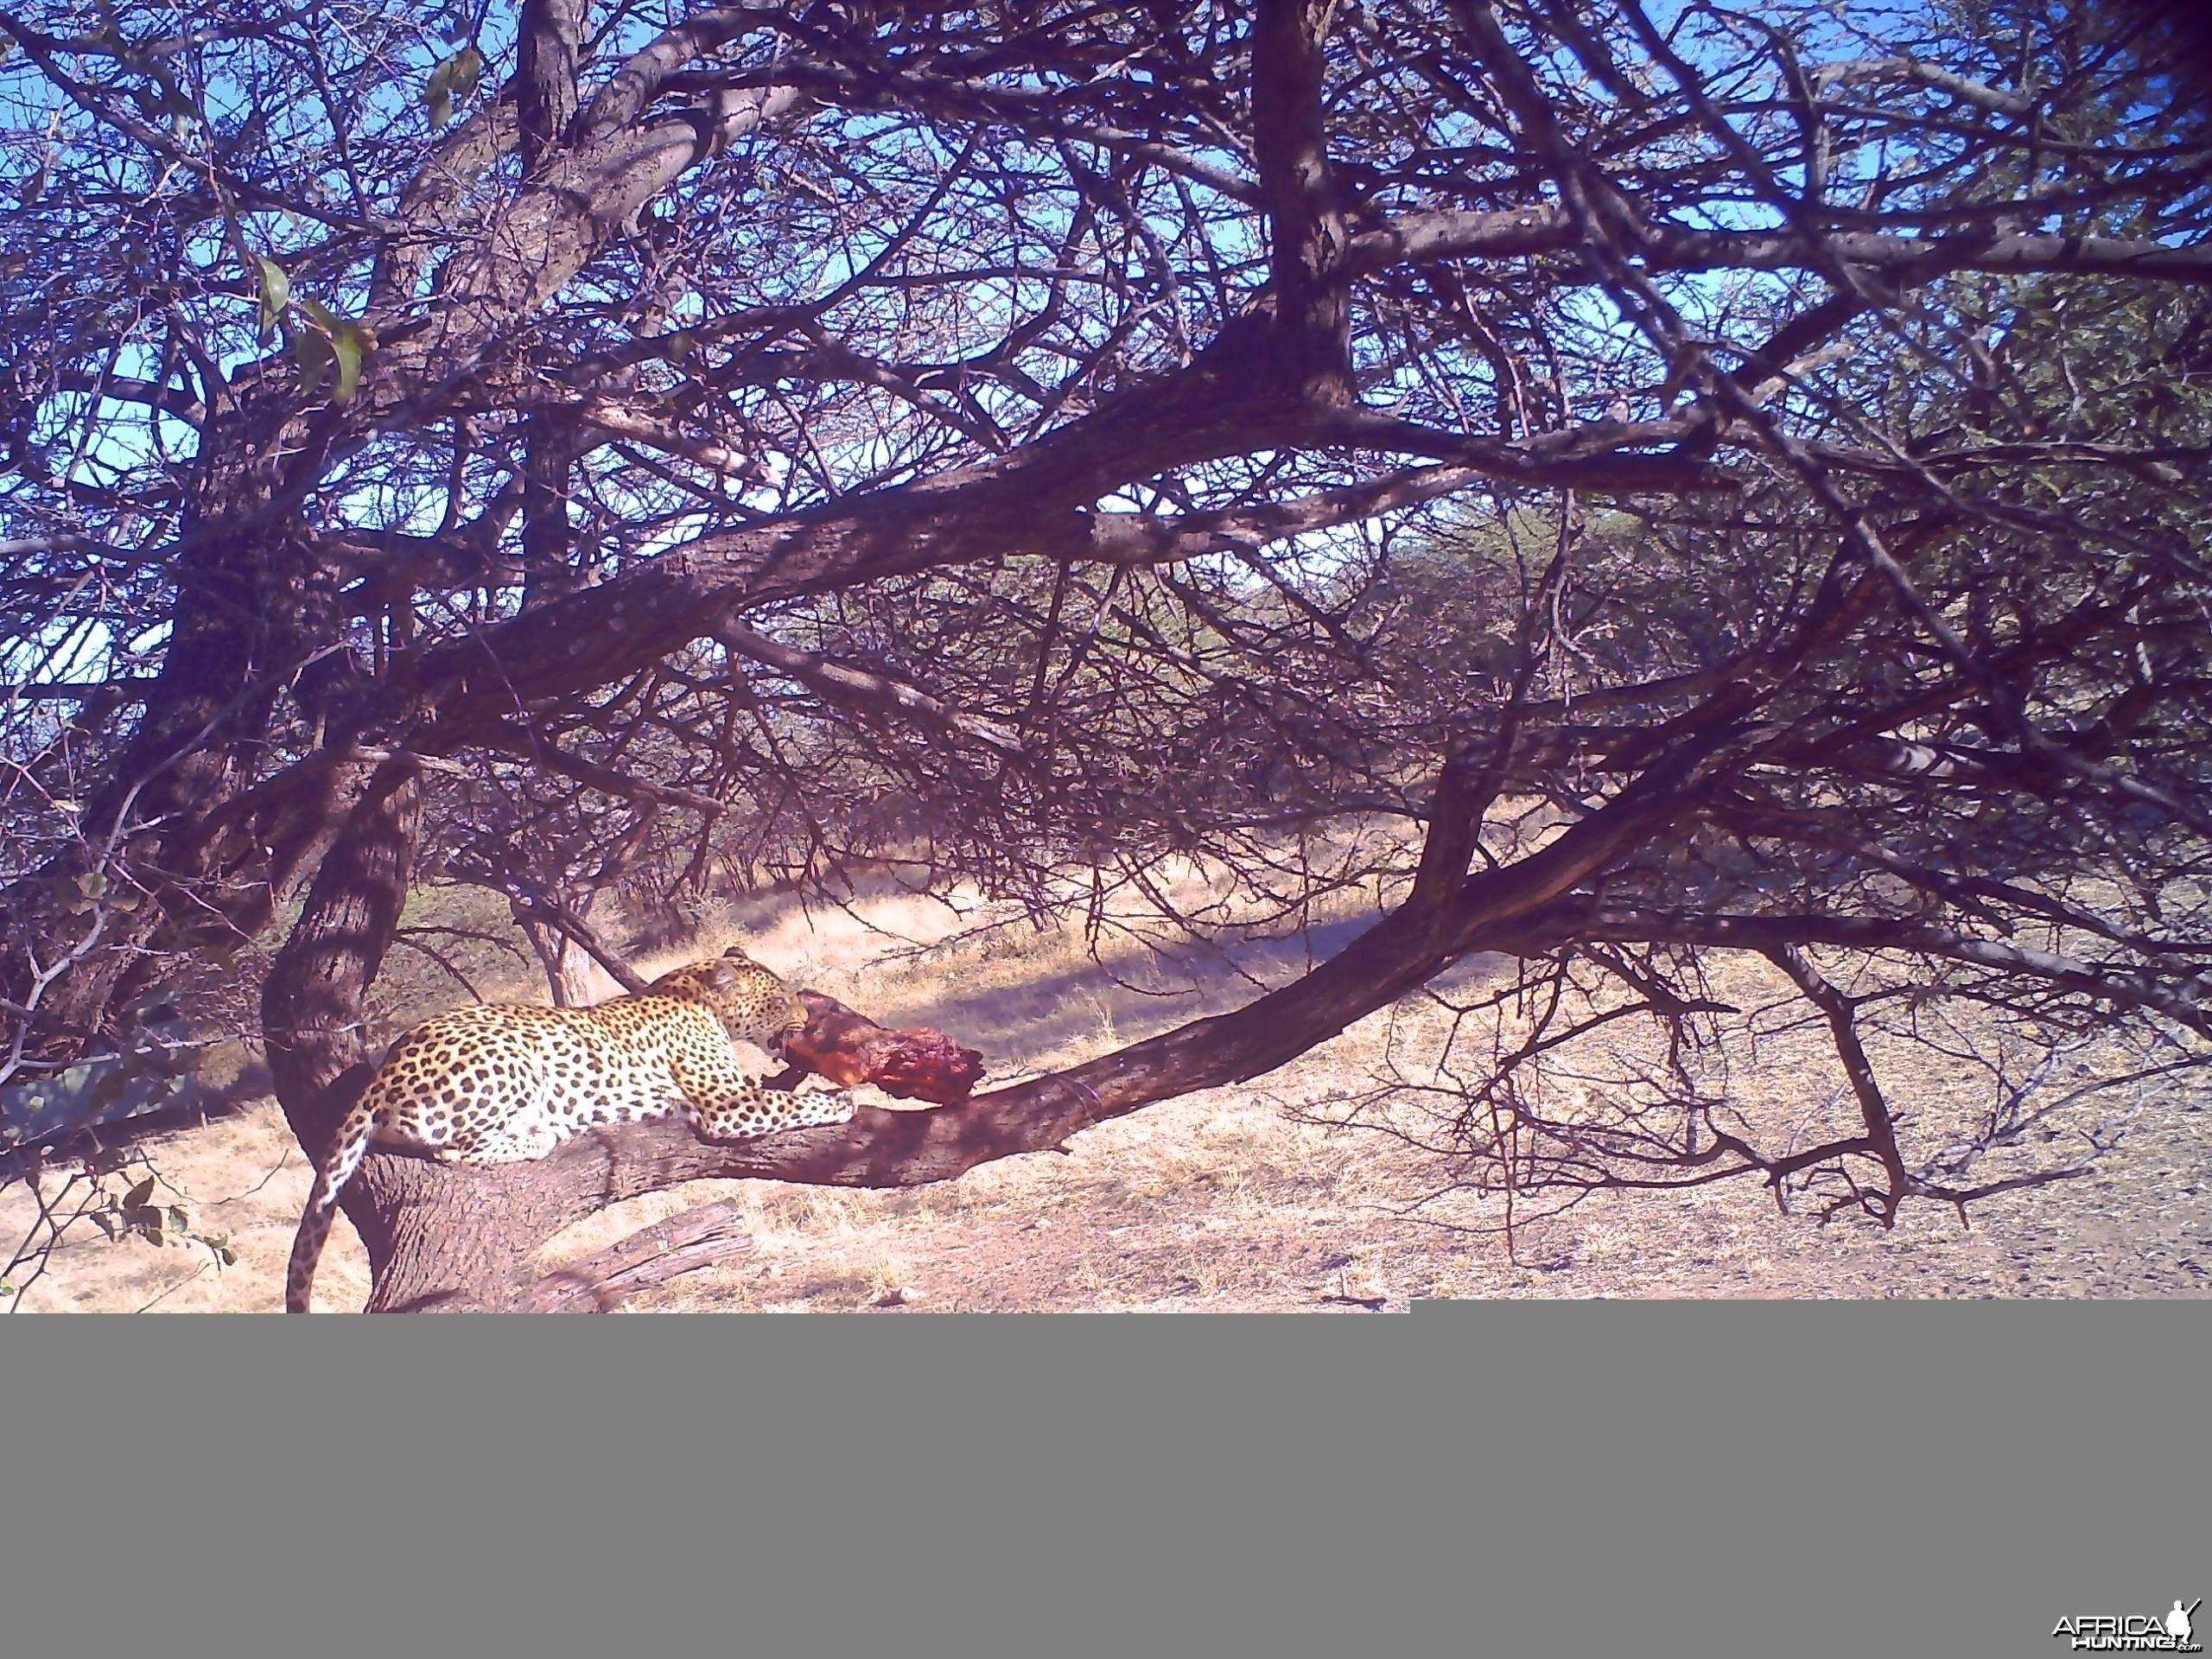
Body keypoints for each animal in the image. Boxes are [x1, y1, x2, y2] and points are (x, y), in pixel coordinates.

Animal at [281, 946, 849, 1309]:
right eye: (780, 1000)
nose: (805, 1019)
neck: (696, 992)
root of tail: (383, 1072)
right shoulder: (727, 1104)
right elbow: (785, 1102)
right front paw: (838, 1100)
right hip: (511, 1060)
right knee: (454, 1150)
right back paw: (541, 1134)